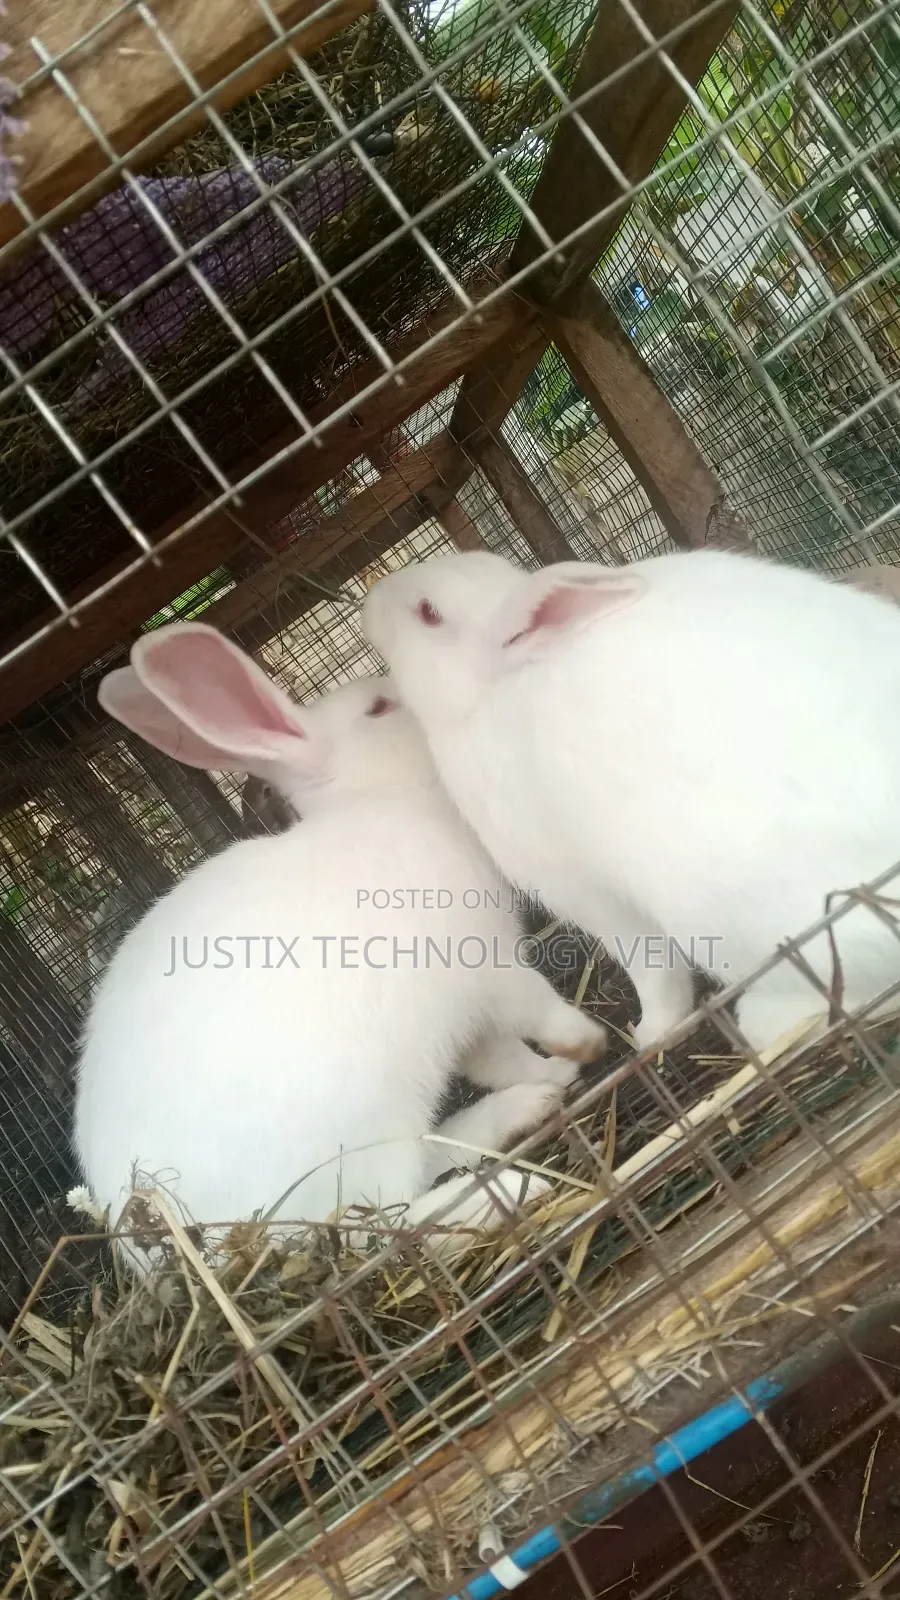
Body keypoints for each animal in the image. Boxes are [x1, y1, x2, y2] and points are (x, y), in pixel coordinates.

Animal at [80, 622, 606, 1275]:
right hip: (357, 1155)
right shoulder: (489, 966)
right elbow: (538, 1010)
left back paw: (527, 1108)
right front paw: (586, 1043)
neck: (382, 799)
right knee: (386, 1229)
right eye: (378, 708)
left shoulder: (465, 1021)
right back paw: (513, 1190)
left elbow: (501, 1057)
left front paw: (555, 1075)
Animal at [361, 546, 900, 1057]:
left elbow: (650, 965)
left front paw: (654, 1033)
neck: (489, 693)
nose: (370, 599)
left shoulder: (589, 892)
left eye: (428, 611)